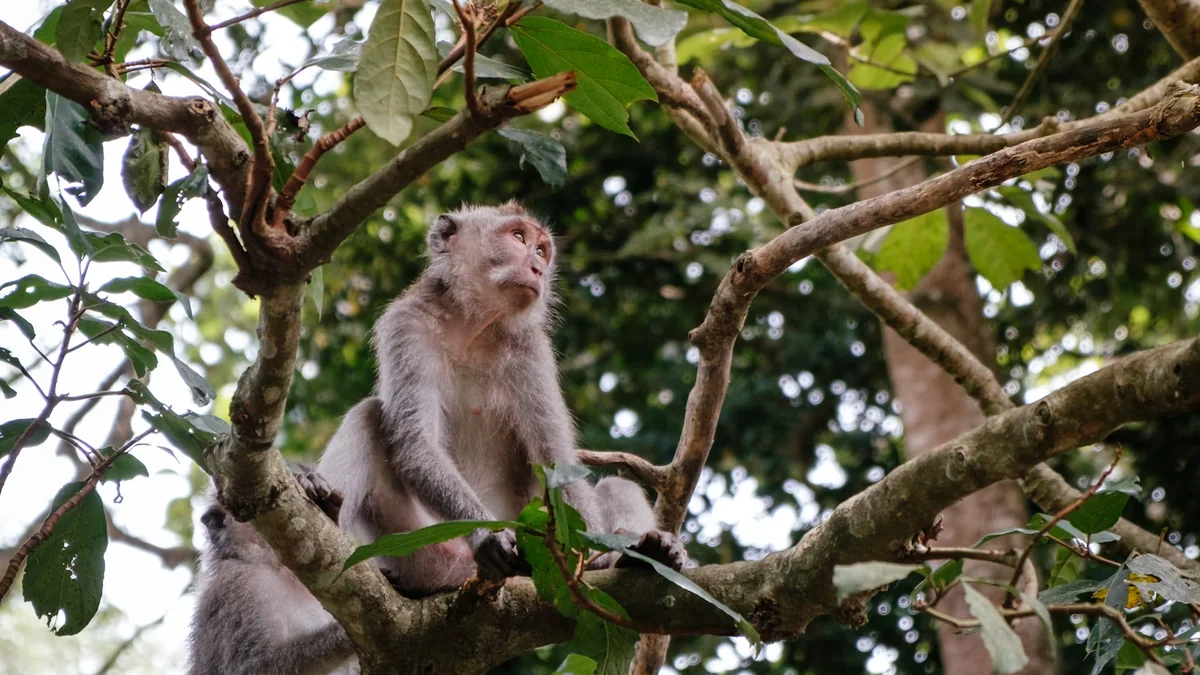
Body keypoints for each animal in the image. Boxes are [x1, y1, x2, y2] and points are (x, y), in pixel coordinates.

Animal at [317, 202, 686, 597]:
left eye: (541, 250)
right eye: (519, 238)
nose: (538, 268)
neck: (473, 327)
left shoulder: (531, 351)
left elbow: (556, 459)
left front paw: (595, 555)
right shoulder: (405, 327)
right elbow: (417, 443)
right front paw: (486, 536)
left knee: (618, 485)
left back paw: (645, 553)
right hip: (422, 550)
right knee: (369, 414)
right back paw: (323, 502)